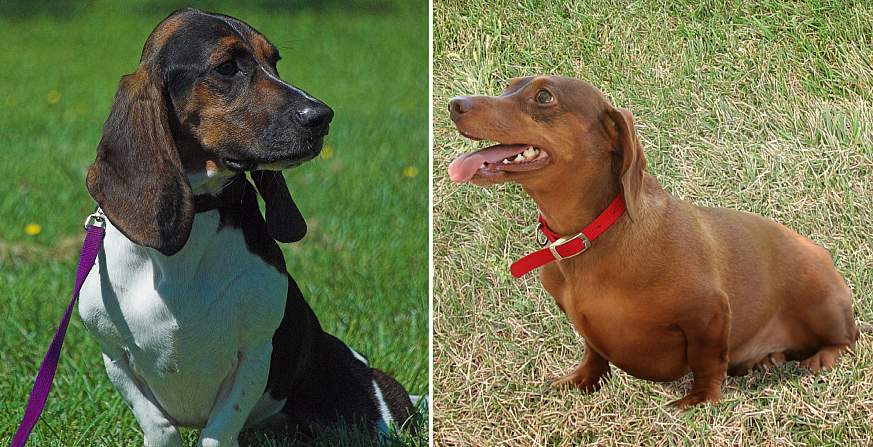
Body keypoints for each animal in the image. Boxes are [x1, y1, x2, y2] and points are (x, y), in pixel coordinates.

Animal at [77, 8, 416, 446]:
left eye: (275, 61)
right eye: (227, 67)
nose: (322, 116)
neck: (201, 214)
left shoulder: (253, 355)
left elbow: (219, 430)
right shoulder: (115, 357)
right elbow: (160, 426)